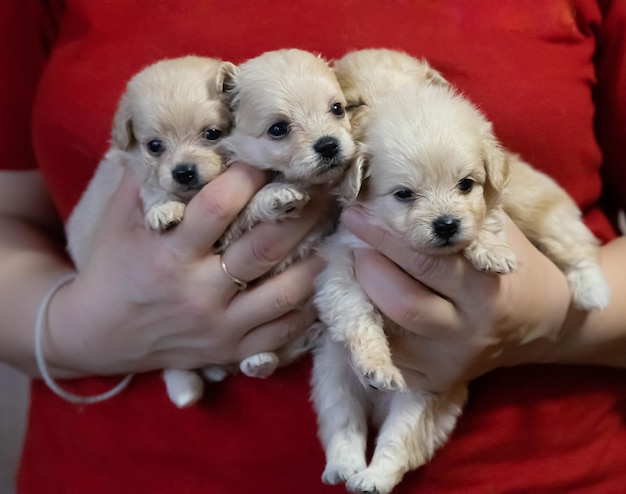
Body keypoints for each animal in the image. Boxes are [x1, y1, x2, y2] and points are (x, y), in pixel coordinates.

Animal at [66, 55, 235, 410]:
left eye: (213, 134)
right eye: (155, 146)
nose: (184, 172)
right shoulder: (136, 172)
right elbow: (154, 189)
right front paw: (164, 209)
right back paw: (186, 388)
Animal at [310, 49, 608, 494]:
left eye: (465, 184)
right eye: (352, 106)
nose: (447, 224)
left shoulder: (496, 200)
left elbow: (490, 217)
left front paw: (490, 250)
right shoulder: (344, 265)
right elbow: (357, 316)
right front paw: (378, 364)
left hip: (424, 400)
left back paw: (593, 289)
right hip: (334, 380)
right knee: (344, 426)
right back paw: (346, 467)